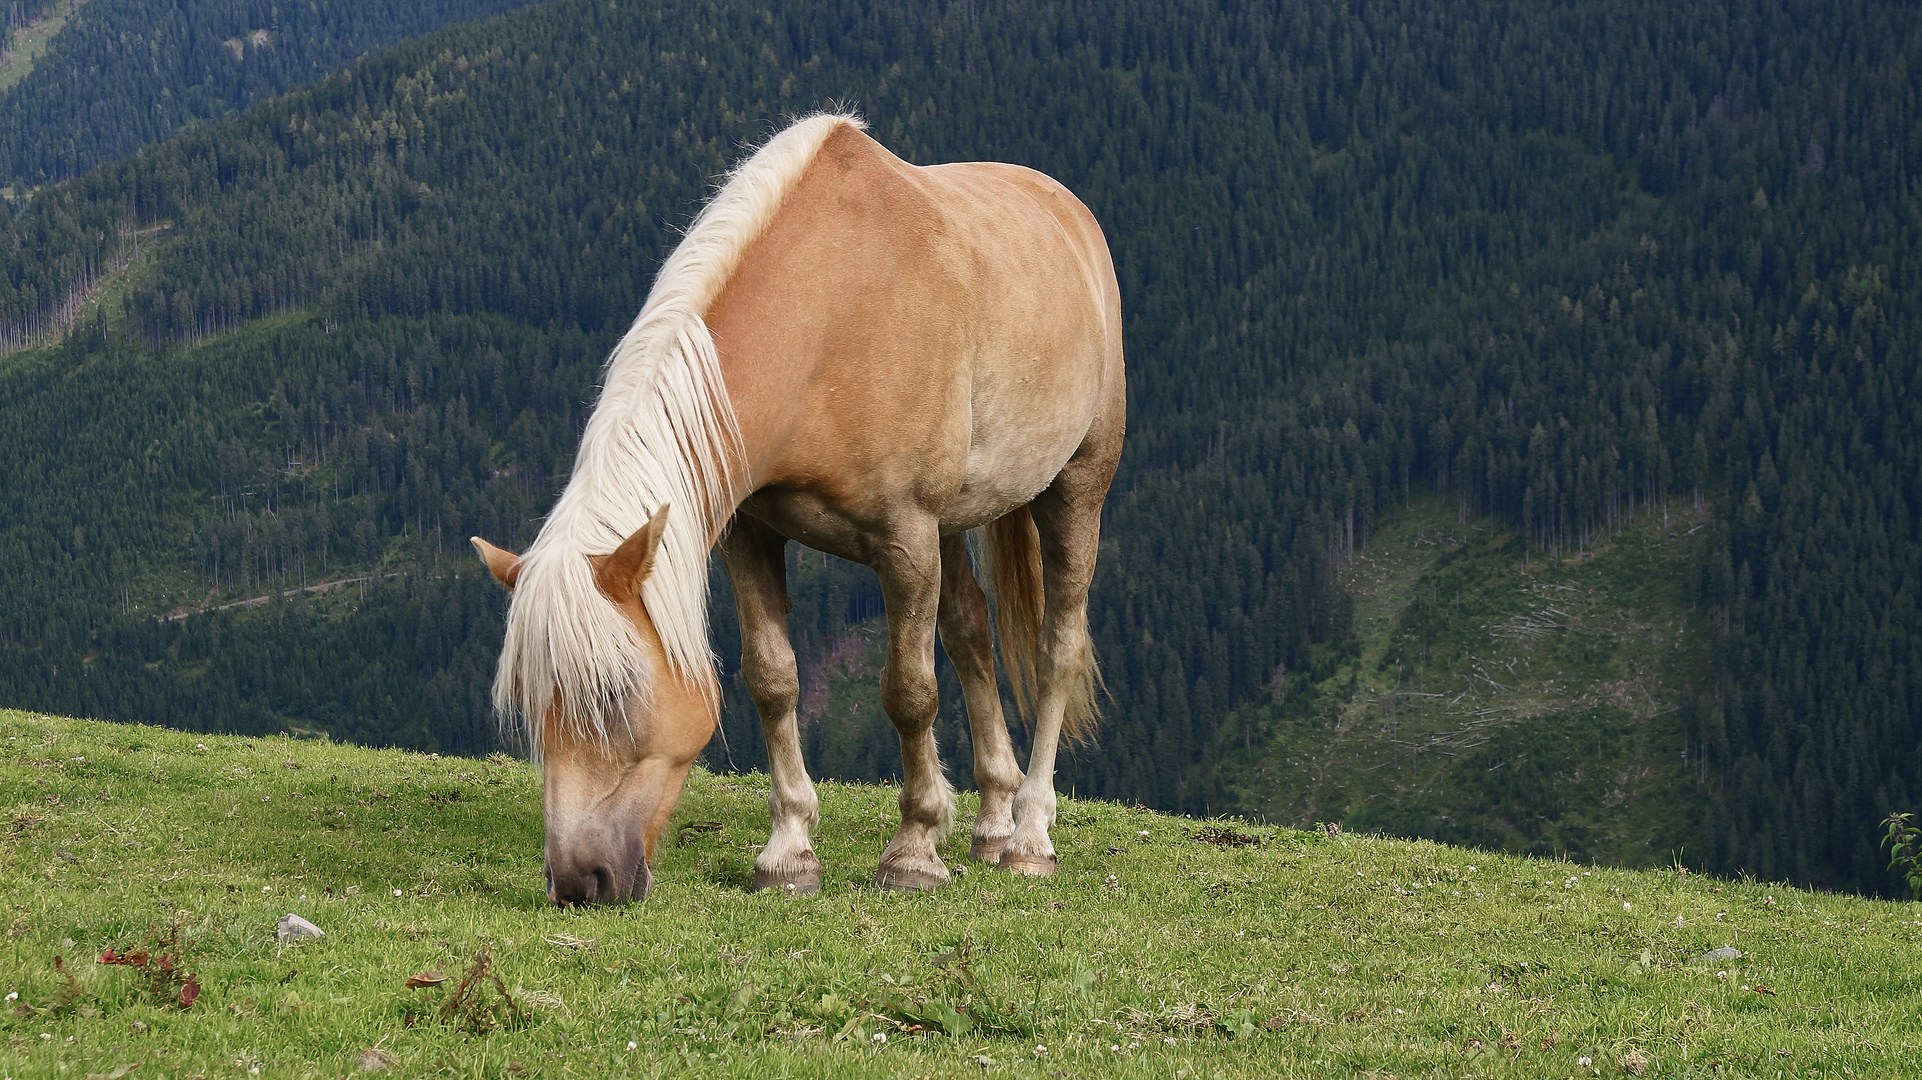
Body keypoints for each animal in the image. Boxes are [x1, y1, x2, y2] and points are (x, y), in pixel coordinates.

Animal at [468, 111, 1122, 899]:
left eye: (617, 693)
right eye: (534, 705)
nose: (578, 882)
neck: (828, 318)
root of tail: (1068, 209)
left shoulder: (905, 537)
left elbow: (909, 691)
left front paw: (913, 850)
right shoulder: (750, 535)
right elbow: (772, 679)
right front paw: (788, 853)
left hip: (1077, 486)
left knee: (1059, 645)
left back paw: (1028, 835)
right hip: (954, 524)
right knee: (970, 630)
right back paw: (993, 821)